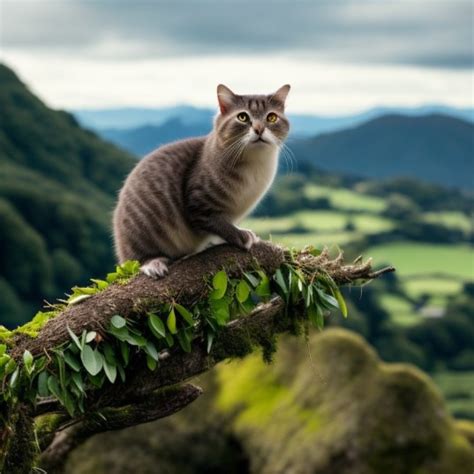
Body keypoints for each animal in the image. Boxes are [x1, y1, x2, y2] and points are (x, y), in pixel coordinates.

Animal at [113, 84, 290, 278]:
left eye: (271, 117)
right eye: (242, 117)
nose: (259, 129)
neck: (255, 163)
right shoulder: (198, 205)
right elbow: (220, 224)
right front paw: (241, 235)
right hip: (141, 229)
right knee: (137, 258)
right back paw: (153, 263)